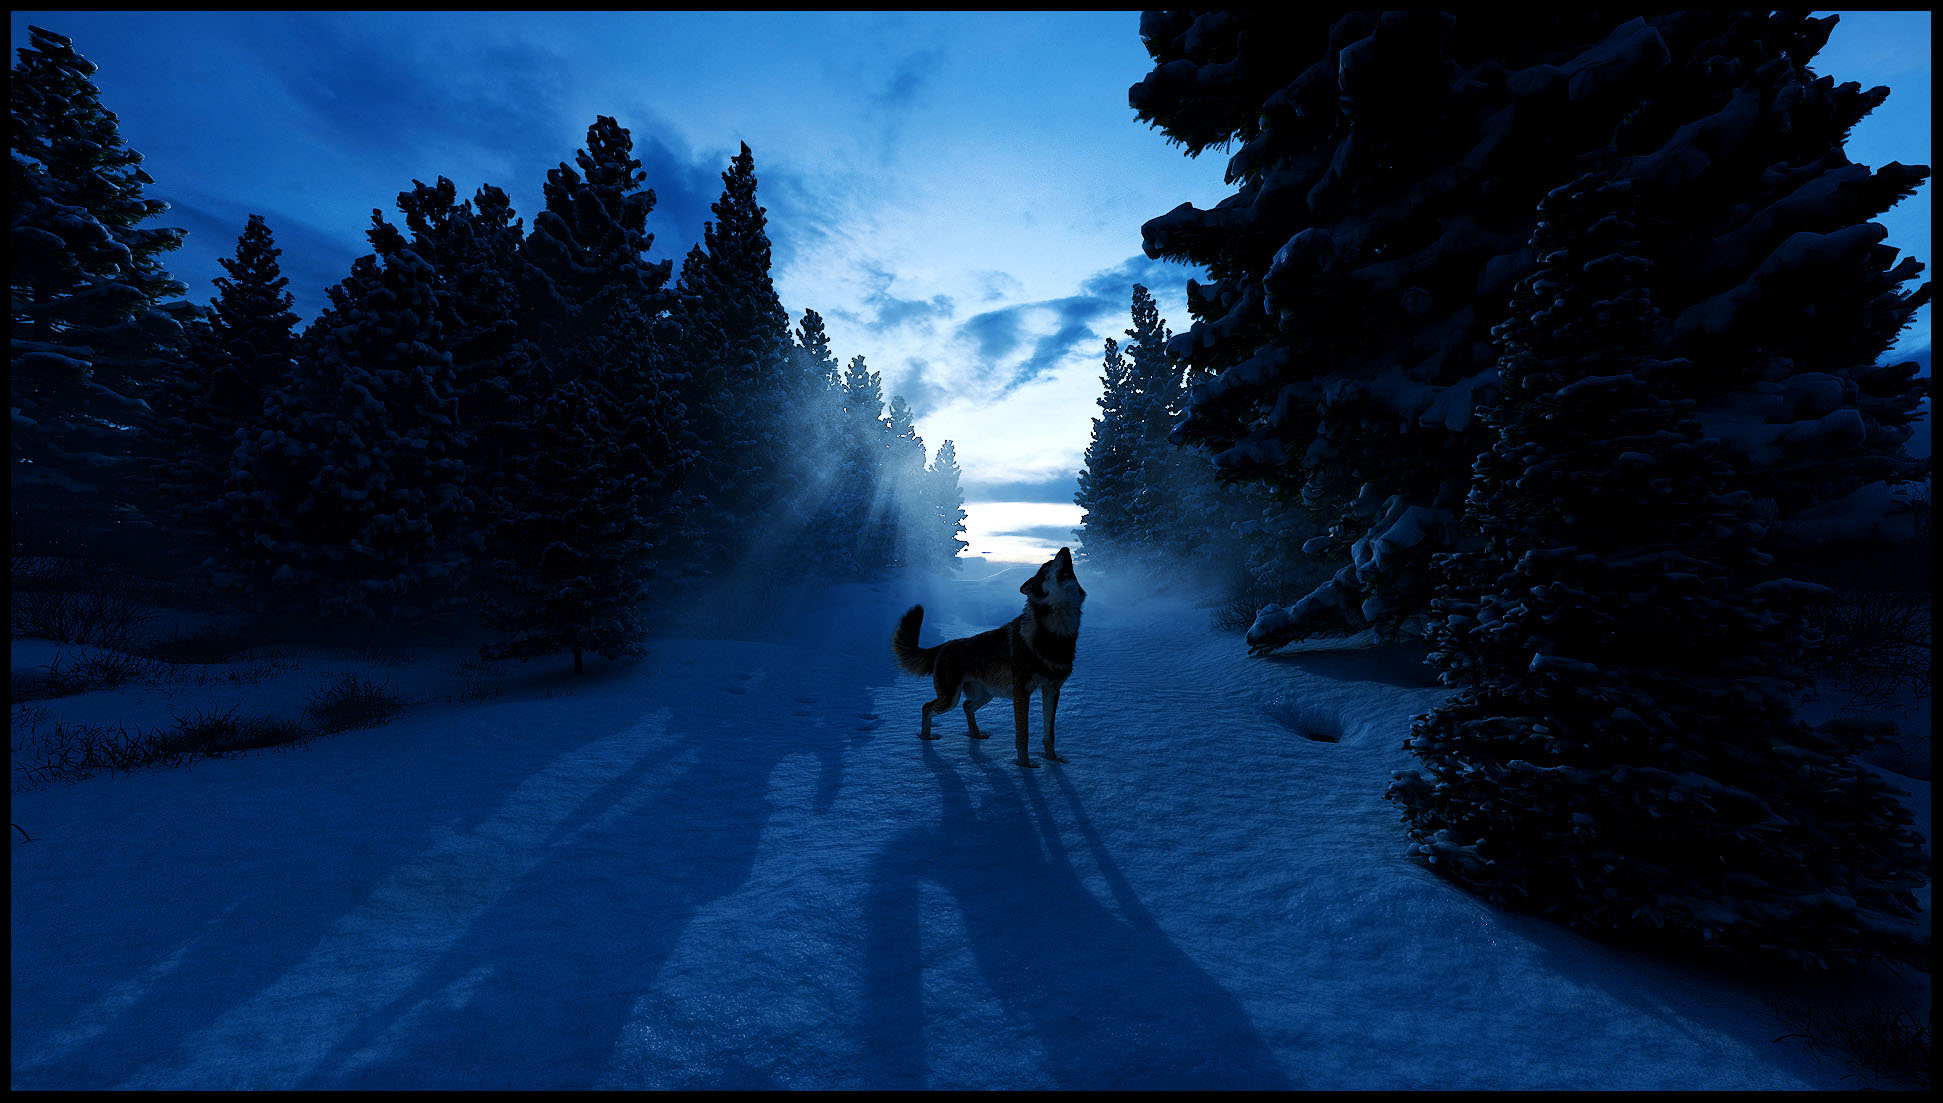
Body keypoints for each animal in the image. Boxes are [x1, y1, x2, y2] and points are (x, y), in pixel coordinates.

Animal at [890, 546, 1085, 769]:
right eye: (1046, 568)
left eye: (1050, 562)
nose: (1064, 548)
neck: (1056, 635)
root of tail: (944, 646)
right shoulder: (1022, 693)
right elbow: (1023, 735)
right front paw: (1025, 767)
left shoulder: (1052, 690)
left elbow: (1049, 734)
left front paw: (1053, 761)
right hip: (950, 700)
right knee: (927, 707)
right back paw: (926, 740)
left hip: (985, 695)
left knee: (966, 706)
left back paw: (975, 736)